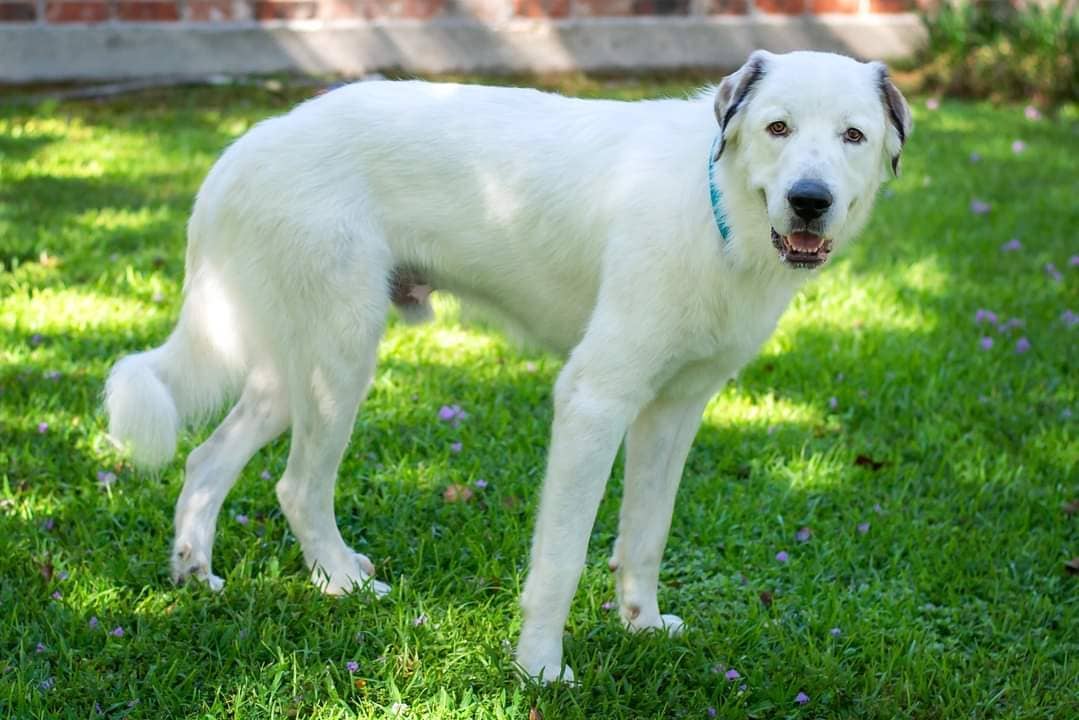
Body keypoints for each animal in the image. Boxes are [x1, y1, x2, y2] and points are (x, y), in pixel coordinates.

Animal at [105, 50, 910, 682]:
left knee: (209, 459)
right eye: (777, 127)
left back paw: (194, 570)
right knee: (297, 486)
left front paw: (641, 625)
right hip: (341, 357)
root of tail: (248, 144)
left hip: (294, 367)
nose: (809, 202)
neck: (717, 206)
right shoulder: (593, 401)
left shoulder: (672, 411)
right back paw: (340, 584)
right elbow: (561, 558)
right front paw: (539, 669)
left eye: (853, 136)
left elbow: (644, 537)